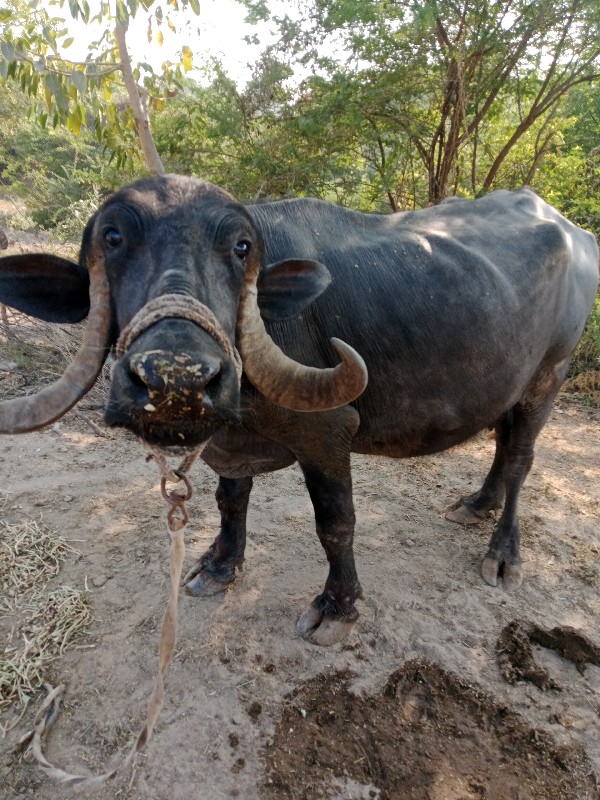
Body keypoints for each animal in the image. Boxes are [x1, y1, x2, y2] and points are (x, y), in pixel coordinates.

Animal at [0, 177, 596, 644]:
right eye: (113, 238)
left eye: (241, 247)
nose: (177, 378)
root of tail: (572, 231)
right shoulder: (232, 440)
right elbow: (229, 501)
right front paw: (218, 567)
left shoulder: (327, 434)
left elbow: (335, 523)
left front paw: (338, 608)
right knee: (502, 439)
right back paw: (477, 504)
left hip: (551, 374)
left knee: (520, 458)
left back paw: (503, 553)